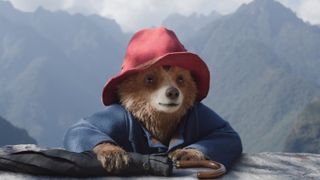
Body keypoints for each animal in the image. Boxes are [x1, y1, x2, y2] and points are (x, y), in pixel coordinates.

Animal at [63, 26, 242, 174]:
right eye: (149, 78)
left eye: (181, 78)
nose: (172, 92)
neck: (160, 122)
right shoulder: (121, 116)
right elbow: (83, 127)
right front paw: (113, 153)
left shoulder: (198, 113)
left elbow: (225, 132)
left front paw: (186, 153)